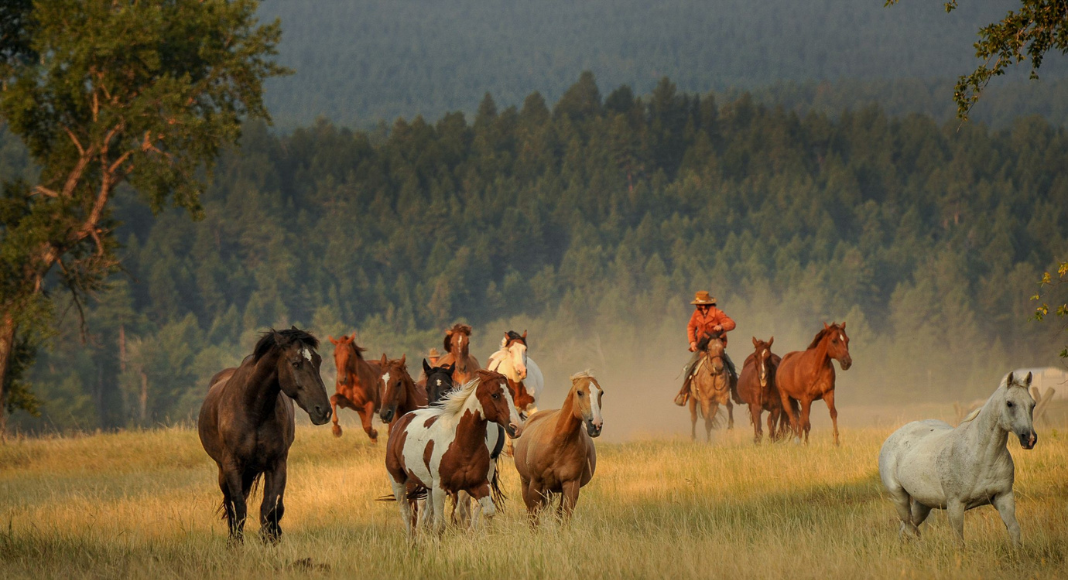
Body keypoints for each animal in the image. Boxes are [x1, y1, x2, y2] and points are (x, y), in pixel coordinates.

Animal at [196, 331, 328, 544]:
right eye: (296, 363)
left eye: (318, 360)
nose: (323, 411)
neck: (254, 409)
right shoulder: (232, 464)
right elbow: (239, 508)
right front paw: (237, 544)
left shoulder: (277, 463)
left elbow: (272, 508)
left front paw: (270, 538)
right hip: (223, 471)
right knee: (230, 504)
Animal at [384, 371, 521, 536]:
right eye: (495, 395)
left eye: (512, 393)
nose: (516, 427)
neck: (460, 444)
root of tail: (402, 421)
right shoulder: (440, 488)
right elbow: (440, 526)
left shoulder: (478, 485)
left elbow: (487, 512)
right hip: (397, 481)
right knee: (407, 513)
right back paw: (411, 539)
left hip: (427, 485)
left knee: (426, 516)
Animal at [514, 371, 606, 525]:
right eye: (579, 392)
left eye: (601, 392)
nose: (596, 425)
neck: (557, 444)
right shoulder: (535, 484)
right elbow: (534, 518)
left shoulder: (570, 486)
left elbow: (565, 517)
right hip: (525, 482)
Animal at [880, 373, 1038, 546]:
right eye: (1009, 403)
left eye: (1033, 404)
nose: (1029, 438)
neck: (981, 457)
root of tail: (893, 437)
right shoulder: (955, 505)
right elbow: (959, 541)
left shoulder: (1004, 497)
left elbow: (1014, 530)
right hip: (899, 496)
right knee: (908, 527)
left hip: (922, 503)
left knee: (906, 529)